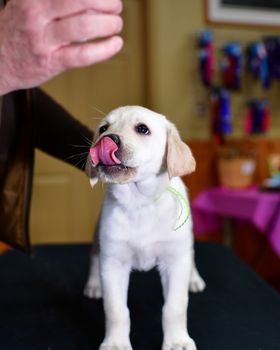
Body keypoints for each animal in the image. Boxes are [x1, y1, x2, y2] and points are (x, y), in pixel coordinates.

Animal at [84, 105, 205, 350]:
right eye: (103, 128)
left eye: (142, 129)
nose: (107, 139)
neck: (139, 203)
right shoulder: (113, 262)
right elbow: (116, 310)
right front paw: (115, 344)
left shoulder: (174, 261)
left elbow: (174, 308)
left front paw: (177, 341)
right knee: (94, 254)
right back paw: (94, 284)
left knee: (191, 253)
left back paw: (194, 278)